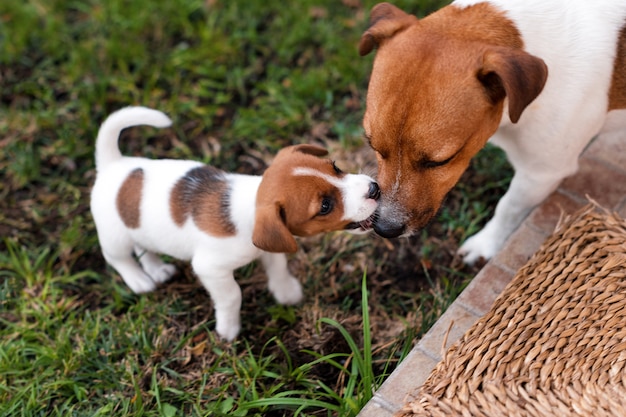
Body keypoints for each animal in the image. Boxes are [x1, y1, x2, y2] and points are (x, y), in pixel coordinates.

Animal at [90, 105, 378, 340]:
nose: (374, 189)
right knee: (118, 259)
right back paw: (140, 280)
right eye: (325, 206)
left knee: (144, 247)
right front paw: (228, 328)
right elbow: (232, 296)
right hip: (115, 238)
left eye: (335, 167)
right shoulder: (210, 269)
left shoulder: (270, 248)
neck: (247, 207)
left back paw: (157, 269)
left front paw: (286, 293)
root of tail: (113, 165)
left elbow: (278, 268)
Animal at [356, 0, 624, 264]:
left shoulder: (542, 173)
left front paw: (485, 243)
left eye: (442, 161)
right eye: (372, 146)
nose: (385, 229)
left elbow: (508, 207)